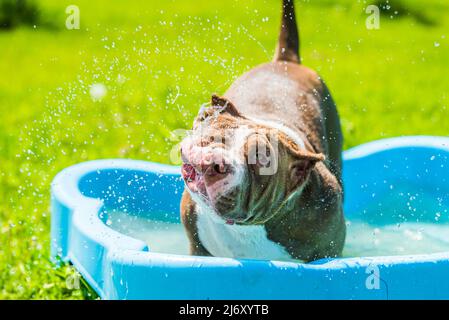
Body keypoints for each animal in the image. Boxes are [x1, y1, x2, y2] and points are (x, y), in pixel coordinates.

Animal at [178, 0, 344, 262]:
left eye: (260, 161)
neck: (246, 230)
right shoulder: (197, 246)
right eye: (215, 137)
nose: (215, 163)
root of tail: (286, 60)